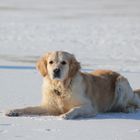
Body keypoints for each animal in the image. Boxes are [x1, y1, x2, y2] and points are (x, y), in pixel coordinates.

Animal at [6, 50, 140, 118]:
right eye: (51, 62)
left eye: (64, 62)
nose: (56, 70)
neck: (61, 88)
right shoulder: (49, 107)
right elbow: (28, 108)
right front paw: (13, 111)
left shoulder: (89, 107)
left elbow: (75, 109)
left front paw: (66, 114)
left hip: (121, 82)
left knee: (130, 104)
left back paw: (128, 109)